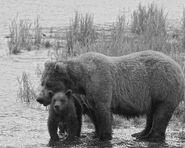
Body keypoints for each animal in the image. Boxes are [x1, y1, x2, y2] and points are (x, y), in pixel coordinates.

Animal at [36, 50, 184, 142]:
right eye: (42, 81)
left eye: (48, 83)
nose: (39, 98)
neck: (82, 79)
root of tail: (177, 66)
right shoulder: (89, 95)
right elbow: (95, 114)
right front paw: (97, 134)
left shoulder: (101, 83)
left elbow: (103, 113)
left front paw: (104, 136)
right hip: (152, 95)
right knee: (151, 114)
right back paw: (141, 134)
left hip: (163, 86)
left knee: (161, 114)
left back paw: (153, 136)